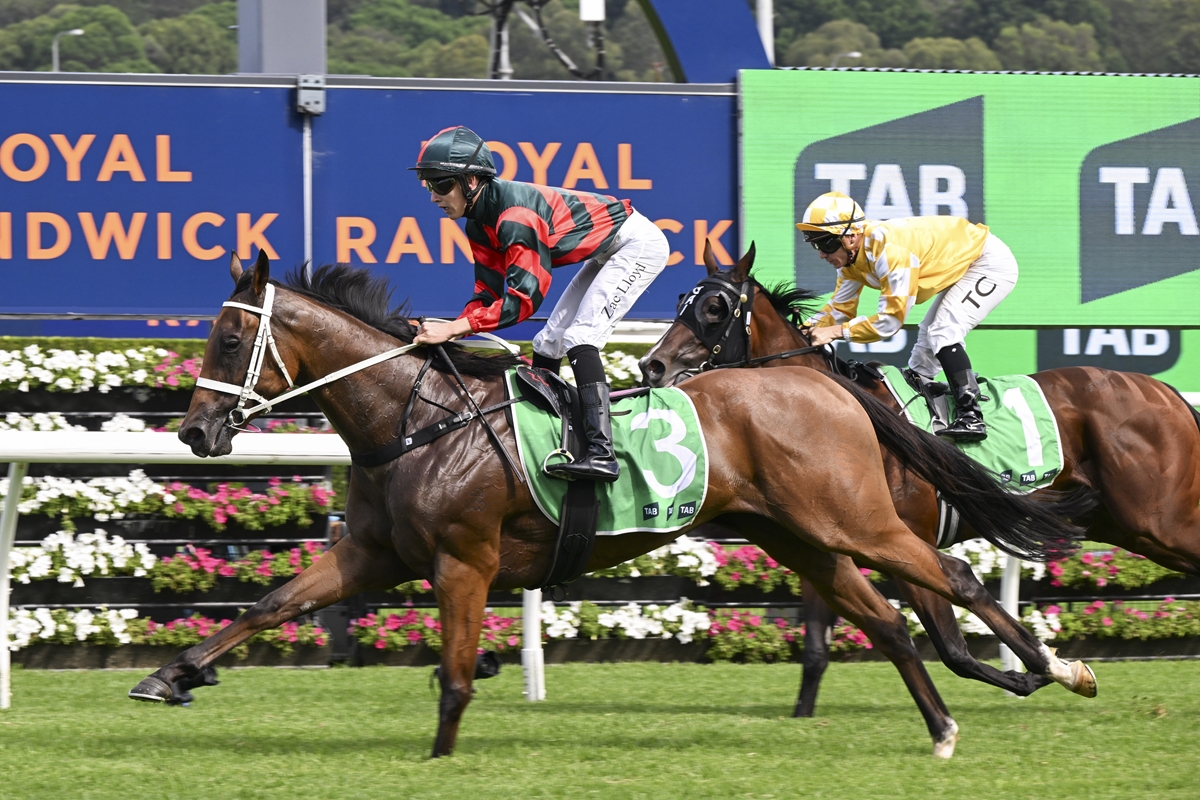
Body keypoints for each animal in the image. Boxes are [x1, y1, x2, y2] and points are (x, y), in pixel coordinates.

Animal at [127, 252, 1098, 759]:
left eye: (229, 338)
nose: (196, 432)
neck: (419, 419)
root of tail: (816, 381)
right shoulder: (374, 554)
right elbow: (269, 604)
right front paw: (171, 675)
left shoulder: (463, 561)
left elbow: (455, 671)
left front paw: (440, 758)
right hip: (798, 536)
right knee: (890, 621)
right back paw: (943, 726)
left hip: (852, 519)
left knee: (954, 579)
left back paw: (1057, 669)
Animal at [639, 242, 1200, 716]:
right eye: (682, 301)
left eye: (715, 307)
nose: (651, 365)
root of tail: (1168, 394)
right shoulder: (836, 539)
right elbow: (829, 646)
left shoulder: (904, 540)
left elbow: (952, 641)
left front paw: (1045, 670)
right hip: (1125, 525)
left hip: (1159, 520)